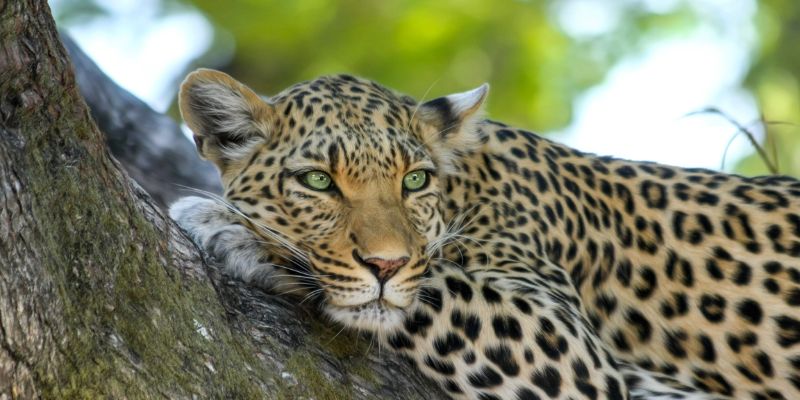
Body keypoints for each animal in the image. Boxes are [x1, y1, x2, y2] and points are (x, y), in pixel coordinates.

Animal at [169, 68, 800, 400]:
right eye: (319, 181)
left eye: (414, 180)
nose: (386, 265)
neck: (466, 188)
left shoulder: (573, 352)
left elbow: (437, 287)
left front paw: (232, 229)